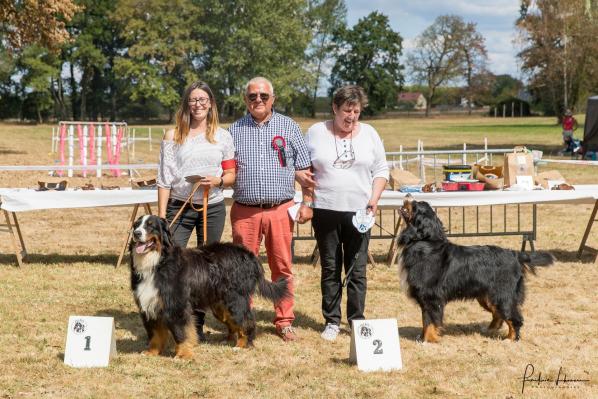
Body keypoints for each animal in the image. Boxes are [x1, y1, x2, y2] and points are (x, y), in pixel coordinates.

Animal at [129, 216, 290, 360]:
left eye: (150, 226)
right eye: (136, 225)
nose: (136, 233)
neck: (156, 263)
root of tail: (249, 255)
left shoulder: (176, 307)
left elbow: (181, 333)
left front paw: (183, 355)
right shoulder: (149, 304)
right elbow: (155, 333)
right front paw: (152, 352)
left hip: (235, 300)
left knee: (246, 320)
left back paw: (242, 345)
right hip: (221, 305)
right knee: (234, 322)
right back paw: (228, 340)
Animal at [400, 196, 556, 344]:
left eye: (415, 205)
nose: (407, 195)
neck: (425, 242)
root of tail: (515, 254)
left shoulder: (430, 296)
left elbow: (429, 321)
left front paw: (428, 340)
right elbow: (425, 320)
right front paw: (422, 338)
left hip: (502, 295)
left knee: (514, 317)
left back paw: (510, 339)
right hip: (487, 297)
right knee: (498, 314)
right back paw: (490, 329)